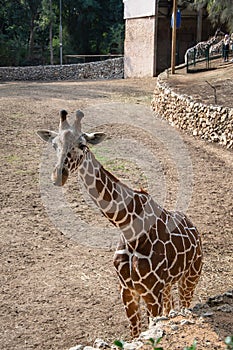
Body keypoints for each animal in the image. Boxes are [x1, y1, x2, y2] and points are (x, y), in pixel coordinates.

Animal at [36, 110, 202, 340]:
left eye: (82, 145)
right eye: (54, 144)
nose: (59, 176)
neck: (127, 228)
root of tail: (195, 230)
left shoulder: (151, 292)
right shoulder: (127, 290)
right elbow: (135, 333)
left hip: (190, 277)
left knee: (185, 305)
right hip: (169, 285)